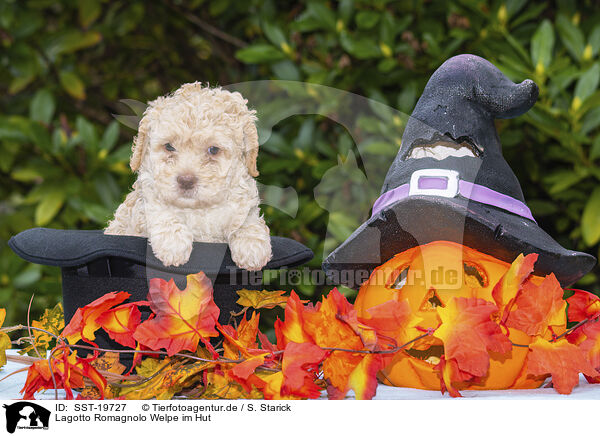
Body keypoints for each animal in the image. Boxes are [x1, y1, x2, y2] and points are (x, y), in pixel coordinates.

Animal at [105, 82, 272, 270]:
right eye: (169, 146)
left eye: (213, 149)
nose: (185, 181)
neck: (198, 209)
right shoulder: (147, 197)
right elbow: (162, 211)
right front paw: (173, 243)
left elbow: (246, 219)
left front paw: (252, 245)